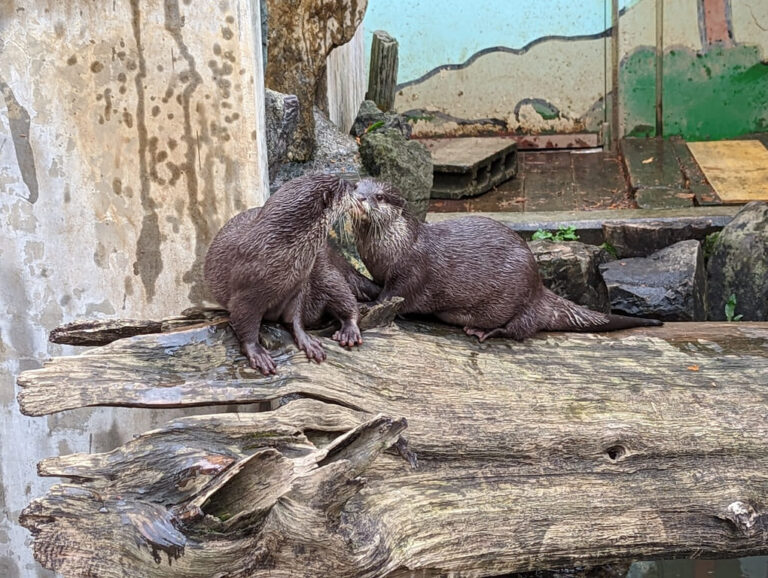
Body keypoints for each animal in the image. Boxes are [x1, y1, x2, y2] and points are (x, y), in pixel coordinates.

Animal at [204, 173, 366, 374]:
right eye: (345, 186)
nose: (356, 185)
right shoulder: (245, 295)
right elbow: (245, 324)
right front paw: (257, 353)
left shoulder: (298, 286)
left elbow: (294, 318)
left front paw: (306, 340)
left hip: (324, 270)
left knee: (343, 295)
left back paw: (349, 331)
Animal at [352, 180, 664, 340]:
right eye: (357, 186)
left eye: (379, 196)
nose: (360, 198)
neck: (395, 246)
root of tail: (539, 287)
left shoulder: (412, 268)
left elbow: (395, 294)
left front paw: (370, 303)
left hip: (518, 294)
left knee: (520, 329)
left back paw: (484, 331)